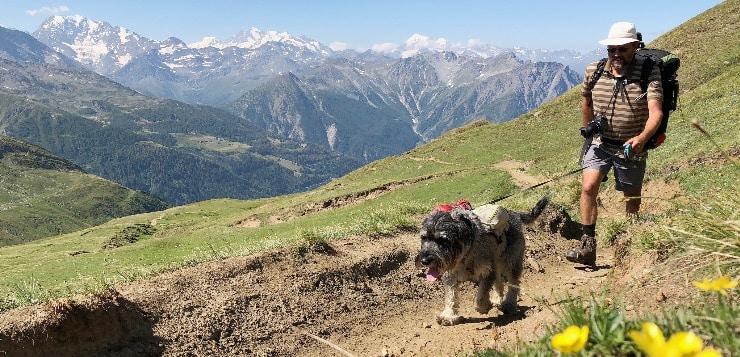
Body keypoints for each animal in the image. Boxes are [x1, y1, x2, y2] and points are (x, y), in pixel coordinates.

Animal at [416, 196, 548, 324]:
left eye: (443, 240)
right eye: (424, 238)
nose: (424, 260)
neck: (466, 253)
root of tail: (514, 214)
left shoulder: (486, 271)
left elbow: (481, 295)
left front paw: (484, 307)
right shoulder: (451, 275)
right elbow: (451, 296)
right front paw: (448, 315)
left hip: (511, 261)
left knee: (513, 283)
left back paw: (509, 304)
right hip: (496, 262)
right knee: (499, 281)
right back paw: (497, 299)